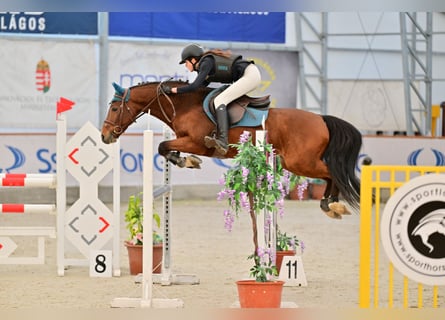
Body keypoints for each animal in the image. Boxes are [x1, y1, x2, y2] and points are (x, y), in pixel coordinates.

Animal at [100, 81, 360, 219]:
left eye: (114, 108)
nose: (105, 135)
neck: (184, 105)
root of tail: (321, 119)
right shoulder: (186, 141)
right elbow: (166, 148)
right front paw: (187, 161)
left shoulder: (196, 142)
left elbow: (163, 146)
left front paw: (187, 161)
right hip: (294, 161)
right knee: (331, 174)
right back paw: (330, 204)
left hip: (300, 161)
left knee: (332, 173)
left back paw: (332, 204)